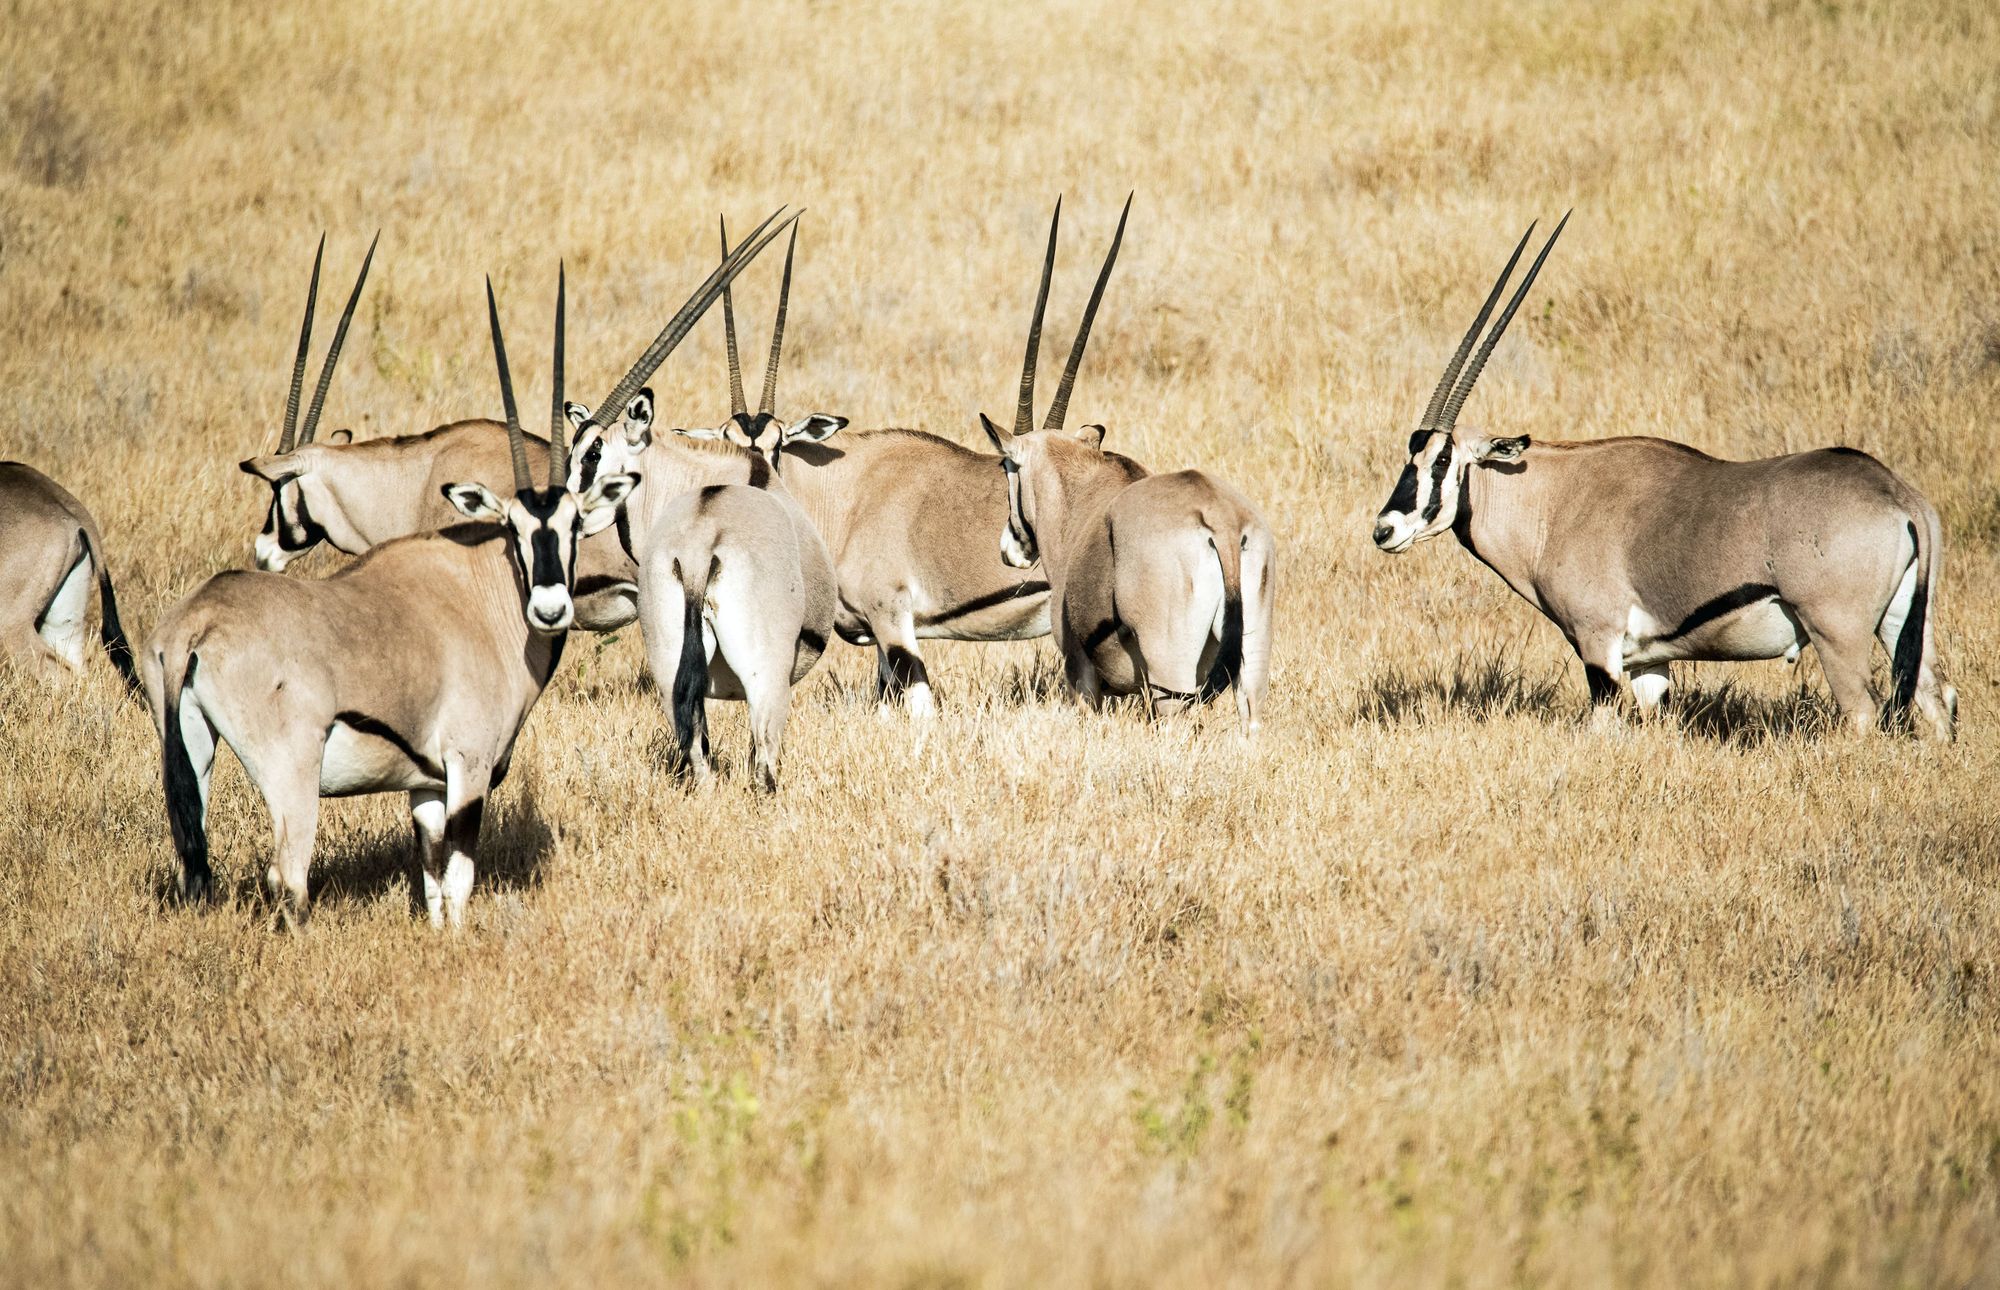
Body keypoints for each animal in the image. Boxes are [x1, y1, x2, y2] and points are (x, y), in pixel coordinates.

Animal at [572, 221, 836, 788]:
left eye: (593, 455)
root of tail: (697, 554)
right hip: (766, 678)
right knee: (763, 765)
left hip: (668, 660)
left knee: (696, 752)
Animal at [980, 197, 1280, 728]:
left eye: (1006, 469)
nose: (1009, 548)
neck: (1079, 500)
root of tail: (1221, 523)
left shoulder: (1081, 677)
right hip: (1251, 674)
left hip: (1170, 679)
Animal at [1376, 211, 1952, 736]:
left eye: (1442, 460)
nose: (1384, 529)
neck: (1552, 501)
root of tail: (1899, 497)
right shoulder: (1650, 662)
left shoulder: (1599, 645)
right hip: (1902, 625)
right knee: (1936, 696)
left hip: (1838, 635)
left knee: (1865, 714)